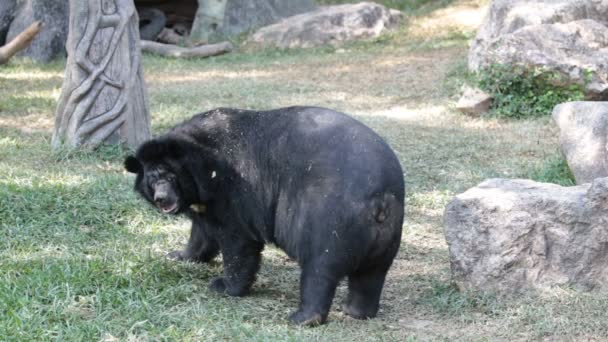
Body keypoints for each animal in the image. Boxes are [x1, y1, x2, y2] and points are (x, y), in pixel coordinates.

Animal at [124, 107, 404, 326]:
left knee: (319, 269)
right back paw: (356, 311)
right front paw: (179, 255)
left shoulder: (232, 189)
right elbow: (202, 233)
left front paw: (224, 286)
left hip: (329, 219)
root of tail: (381, 199)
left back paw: (302, 318)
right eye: (152, 179)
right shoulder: (205, 201)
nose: (162, 199)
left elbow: (237, 241)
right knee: (371, 275)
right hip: (386, 237)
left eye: (170, 177)